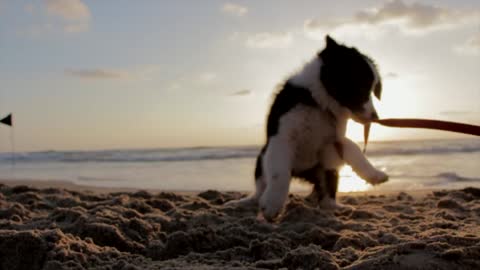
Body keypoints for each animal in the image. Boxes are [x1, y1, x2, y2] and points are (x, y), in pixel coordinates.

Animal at [227, 35, 388, 220]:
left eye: (373, 90)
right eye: (361, 87)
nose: (376, 117)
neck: (318, 103)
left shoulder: (334, 139)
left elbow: (353, 147)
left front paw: (374, 174)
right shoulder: (281, 137)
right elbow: (279, 173)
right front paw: (273, 204)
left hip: (324, 167)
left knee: (326, 191)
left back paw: (335, 207)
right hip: (262, 158)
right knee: (260, 189)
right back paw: (245, 202)